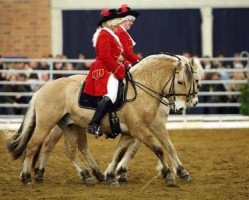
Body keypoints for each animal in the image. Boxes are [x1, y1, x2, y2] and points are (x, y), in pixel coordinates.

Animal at [6, 52, 199, 186]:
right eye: (181, 82)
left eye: (194, 81)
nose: (182, 106)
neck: (142, 88)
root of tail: (41, 90)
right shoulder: (142, 128)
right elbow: (160, 148)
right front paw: (170, 174)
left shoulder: (131, 132)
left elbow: (121, 152)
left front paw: (113, 175)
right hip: (47, 124)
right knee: (34, 145)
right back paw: (28, 177)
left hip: (70, 125)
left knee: (71, 150)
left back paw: (88, 175)